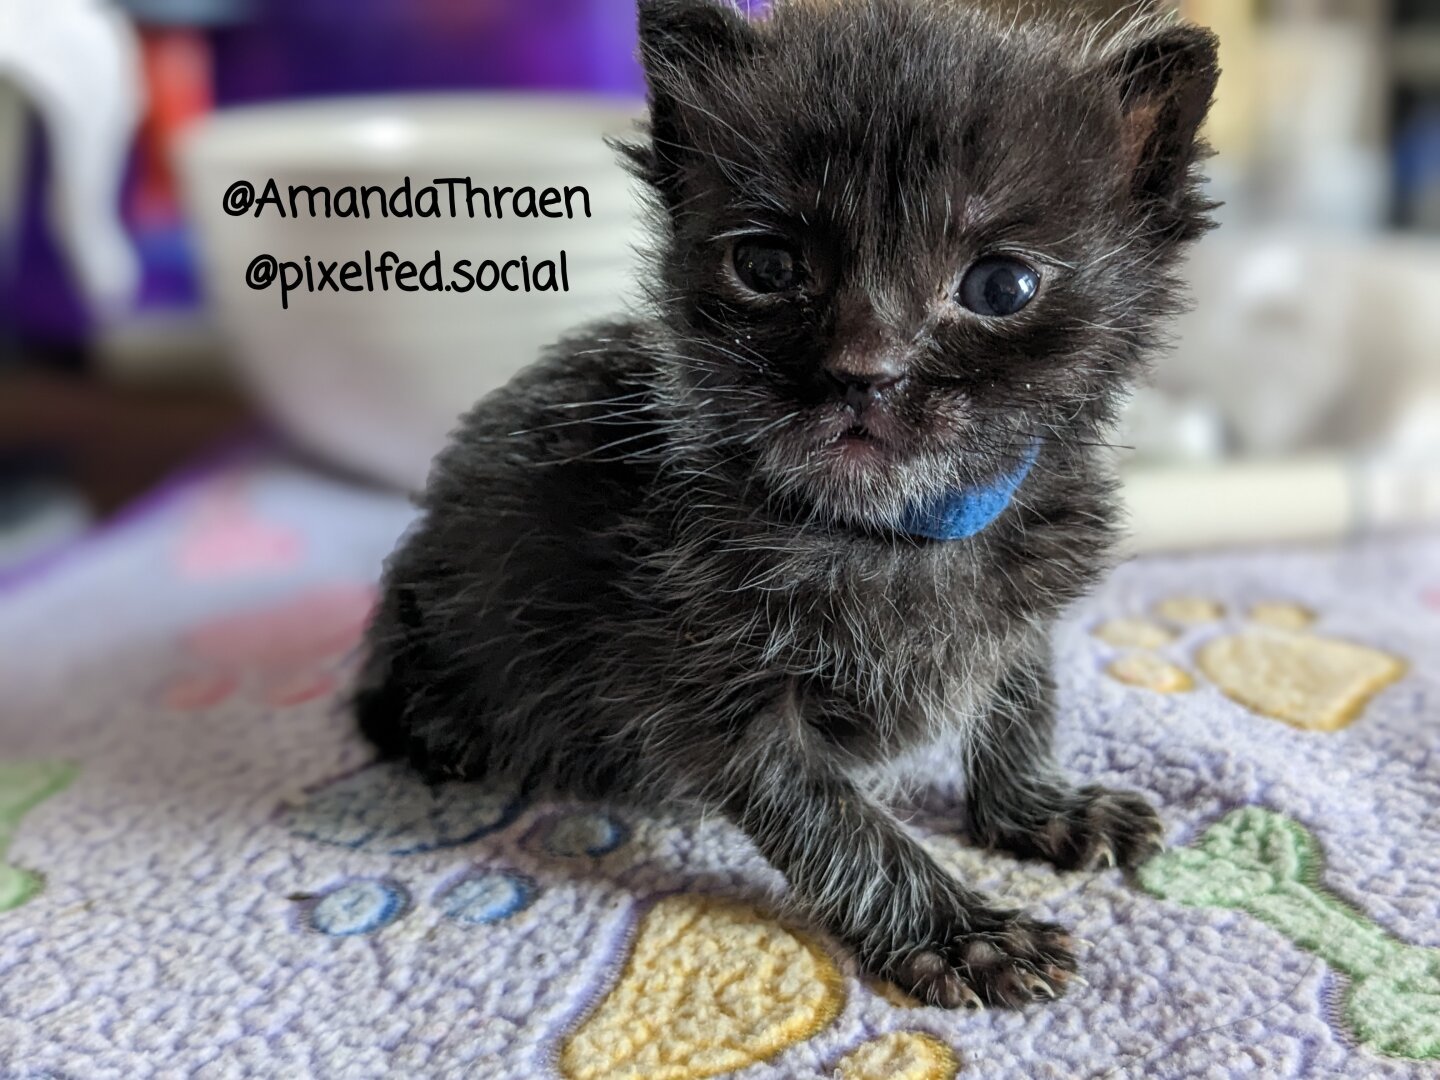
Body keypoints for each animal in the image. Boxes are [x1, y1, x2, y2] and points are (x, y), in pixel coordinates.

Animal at [357, 0, 1215, 1008]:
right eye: (766, 266)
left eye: (1000, 285)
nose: (863, 373)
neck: (893, 531)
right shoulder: (718, 699)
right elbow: (841, 825)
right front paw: (958, 930)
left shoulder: (1023, 610)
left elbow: (1022, 705)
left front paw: (1038, 807)